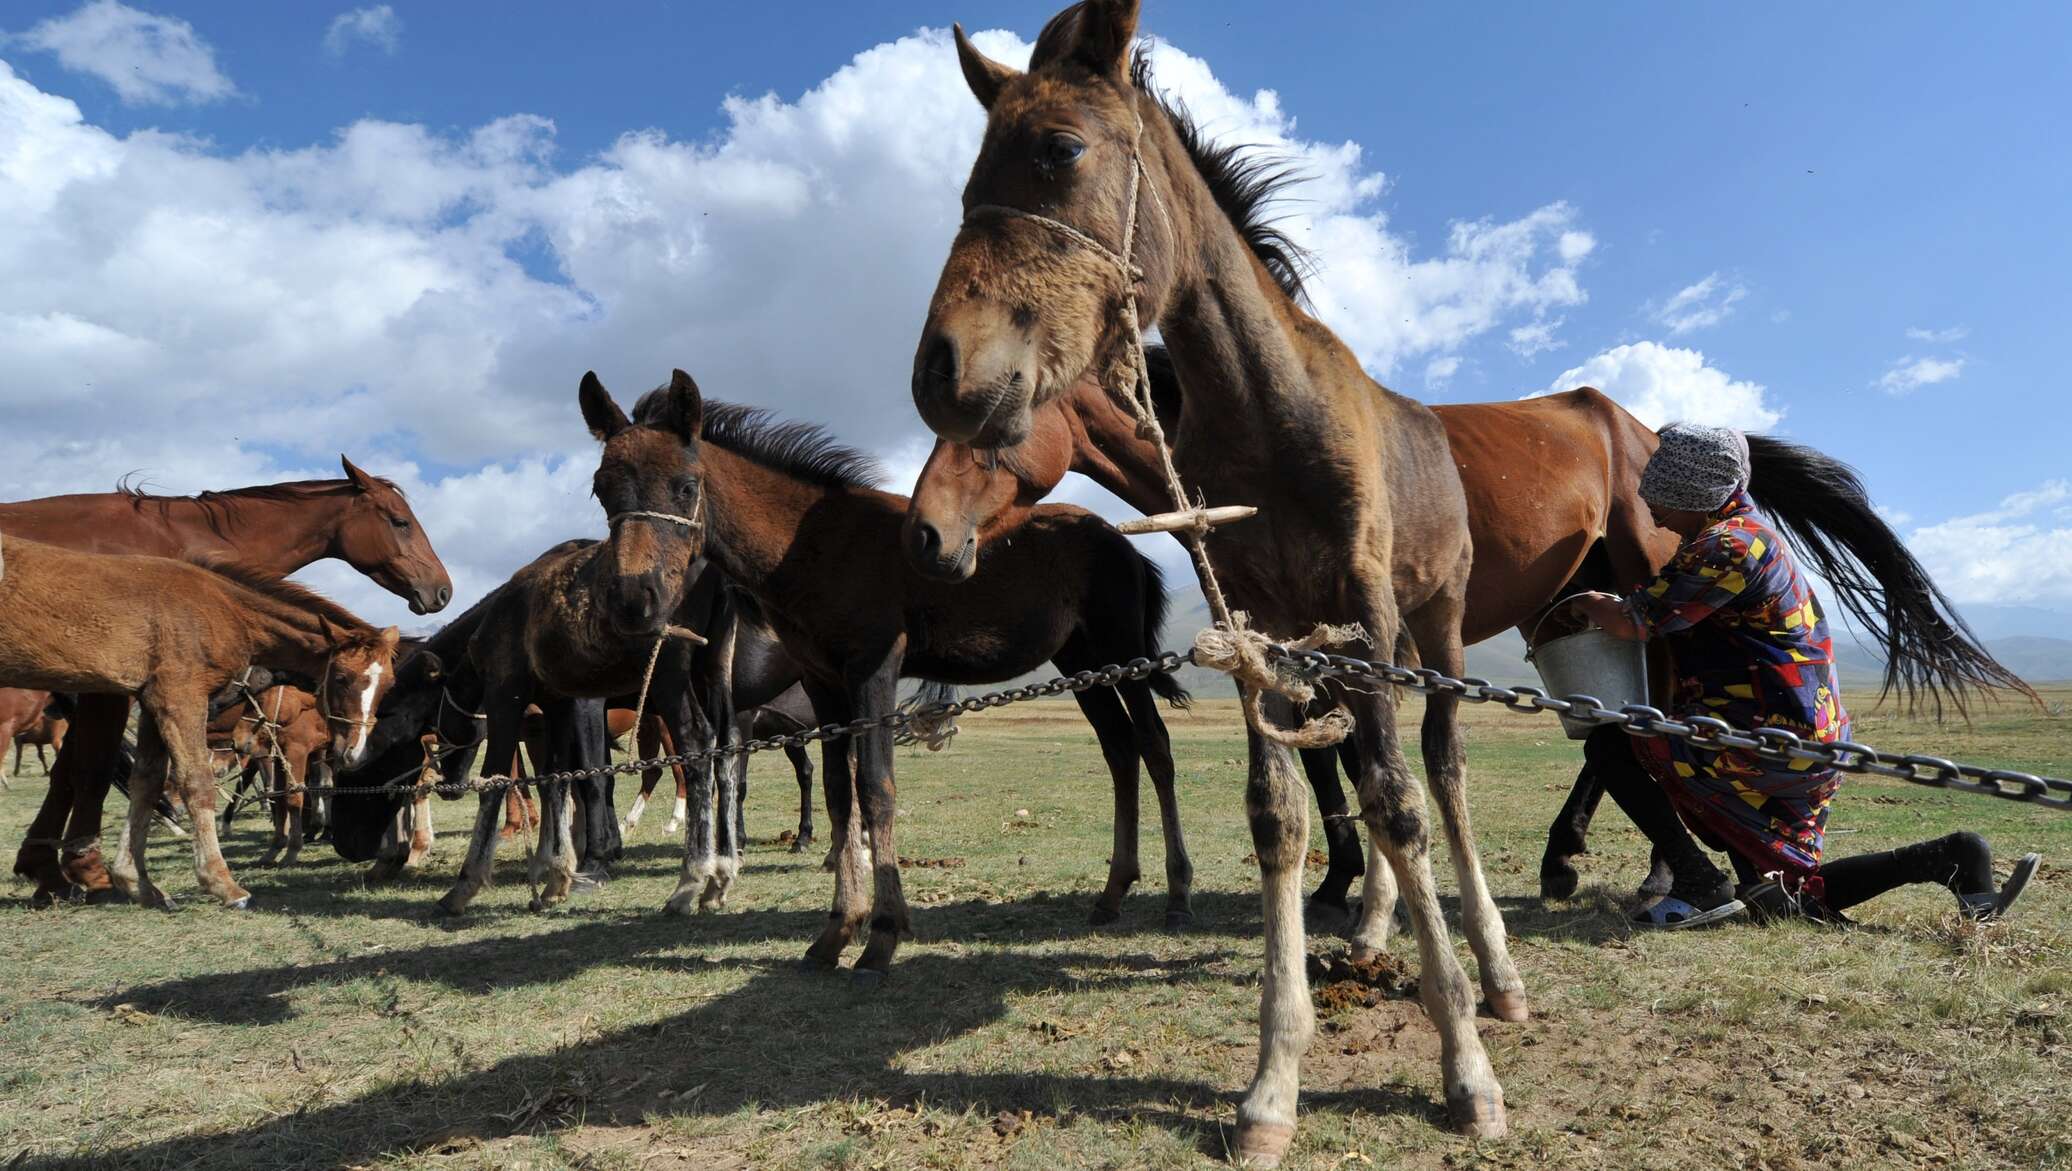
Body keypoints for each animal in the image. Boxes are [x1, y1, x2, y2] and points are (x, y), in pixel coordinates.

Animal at [1, 462, 453, 899]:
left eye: (388, 686)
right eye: (400, 522)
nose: (442, 590)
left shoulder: (152, 698)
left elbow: (138, 778)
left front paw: (109, 875)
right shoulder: (151, 694)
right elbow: (121, 772)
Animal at [605, 368, 1201, 953]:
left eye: (686, 487)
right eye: (602, 491)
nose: (636, 600)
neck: (815, 544)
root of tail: (1120, 541)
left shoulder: (874, 670)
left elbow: (875, 788)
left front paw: (882, 934)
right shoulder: (825, 685)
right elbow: (838, 794)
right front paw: (835, 932)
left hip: (1120, 650)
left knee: (1154, 746)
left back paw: (1177, 895)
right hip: (1080, 664)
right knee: (1119, 750)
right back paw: (1112, 894)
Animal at [915, 2, 1516, 1152]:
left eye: (1060, 150)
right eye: (964, 182)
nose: (938, 373)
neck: (1267, 420)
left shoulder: (1365, 609)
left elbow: (1398, 800)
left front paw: (1465, 1063)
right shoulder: (1256, 625)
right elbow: (1280, 813)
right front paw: (1272, 1083)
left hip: (1436, 619)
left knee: (1445, 772)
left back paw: (1496, 969)